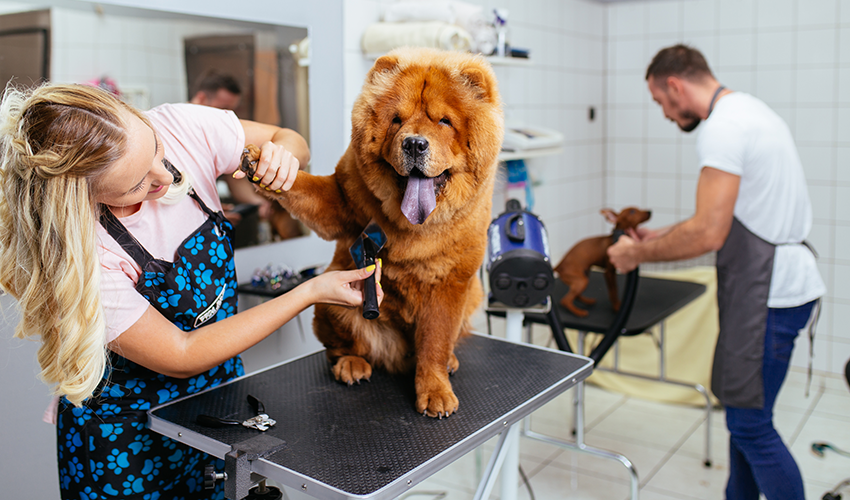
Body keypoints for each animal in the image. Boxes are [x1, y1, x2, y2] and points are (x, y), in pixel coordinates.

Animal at [242, 48, 500, 418]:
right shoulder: (340, 198)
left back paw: (448, 362)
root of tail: (399, 357)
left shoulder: (450, 284)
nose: (414, 144)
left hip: (473, 296)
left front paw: (435, 390)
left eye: (444, 121)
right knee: (343, 347)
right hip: (331, 305)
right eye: (397, 120)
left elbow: (435, 341)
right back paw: (351, 365)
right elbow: (305, 187)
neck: (414, 225)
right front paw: (265, 163)